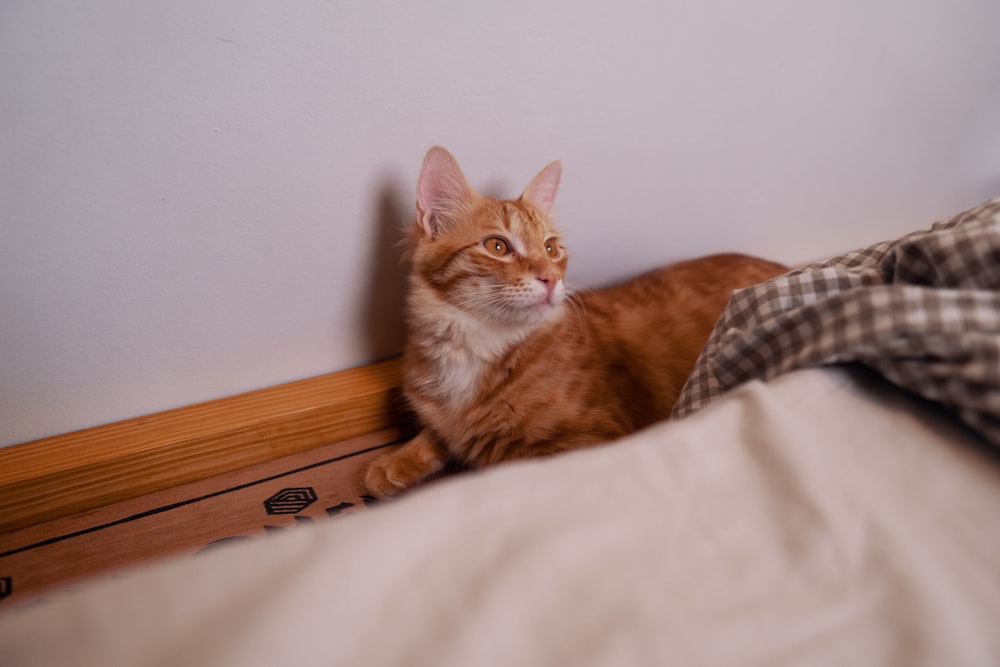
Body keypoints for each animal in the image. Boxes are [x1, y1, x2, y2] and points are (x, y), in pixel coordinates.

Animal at [364, 149, 784, 498]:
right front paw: (394, 462)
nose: (552, 278)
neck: (477, 345)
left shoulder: (592, 440)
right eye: (497, 246)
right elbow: (437, 432)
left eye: (551, 248)